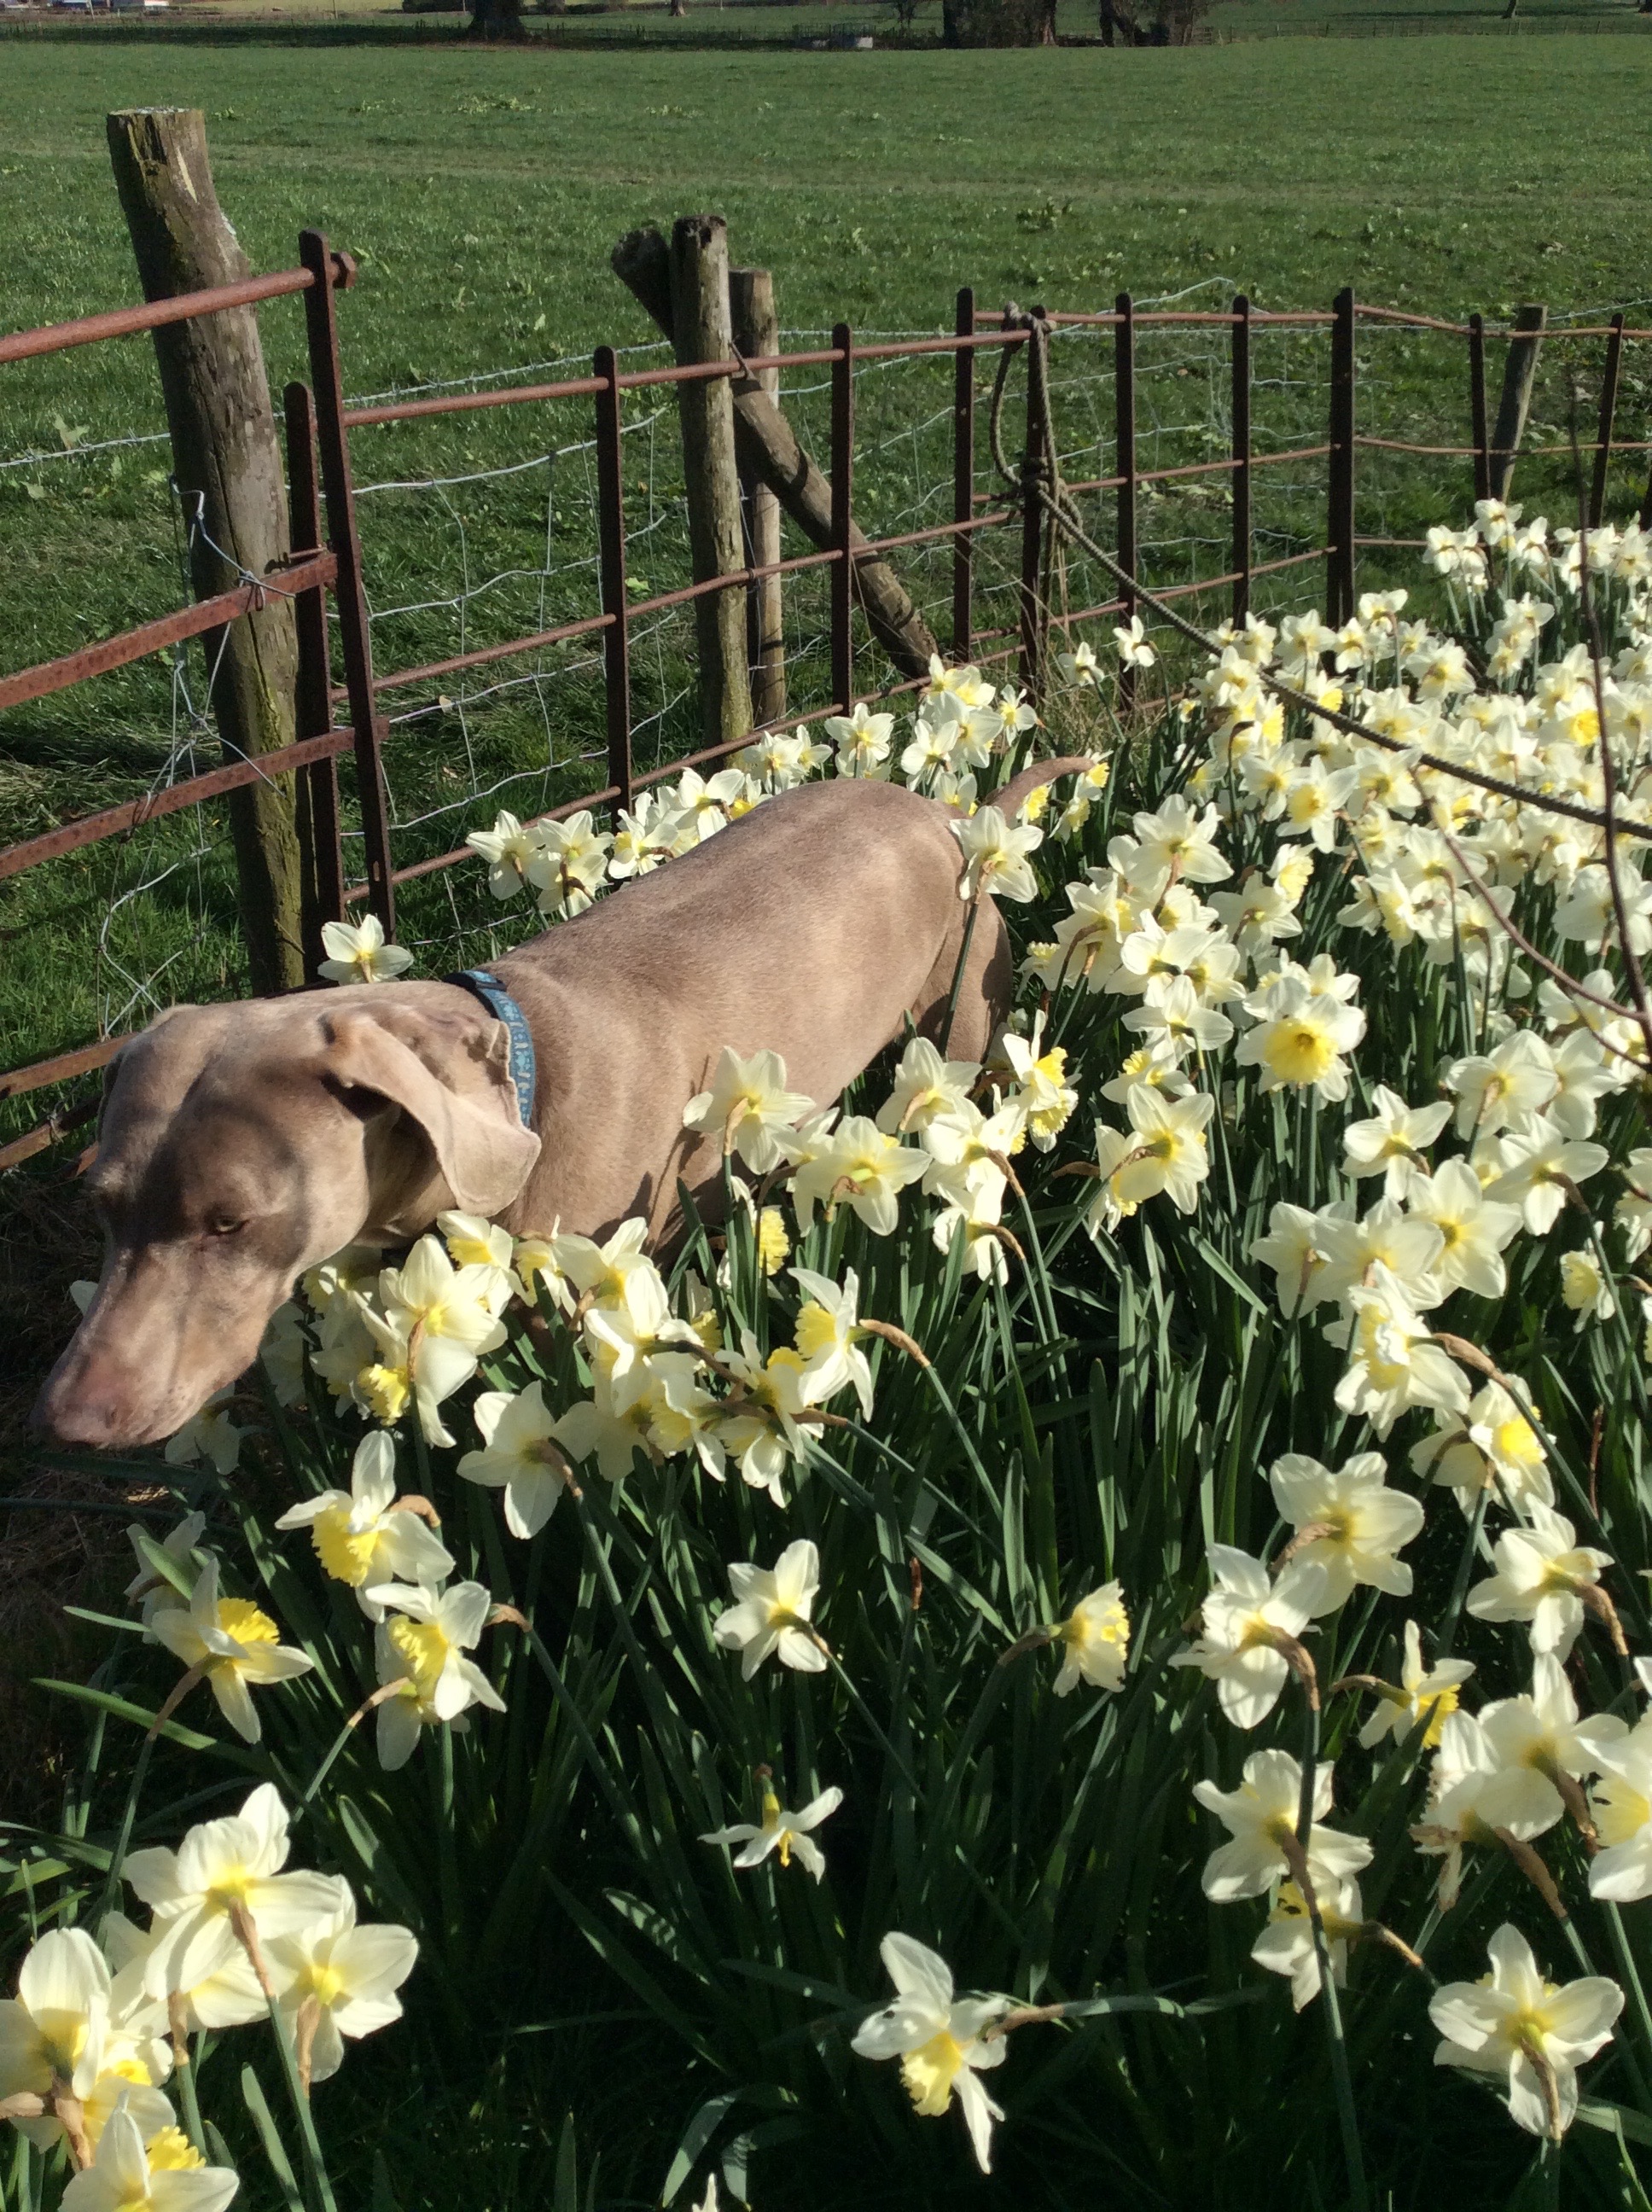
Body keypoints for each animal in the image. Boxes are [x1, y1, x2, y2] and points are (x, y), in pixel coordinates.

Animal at [35, 760, 1083, 1451]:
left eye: (229, 1223)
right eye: (102, 1206)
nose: (67, 1422)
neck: (527, 1087)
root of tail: (945, 810)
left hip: (964, 1021)